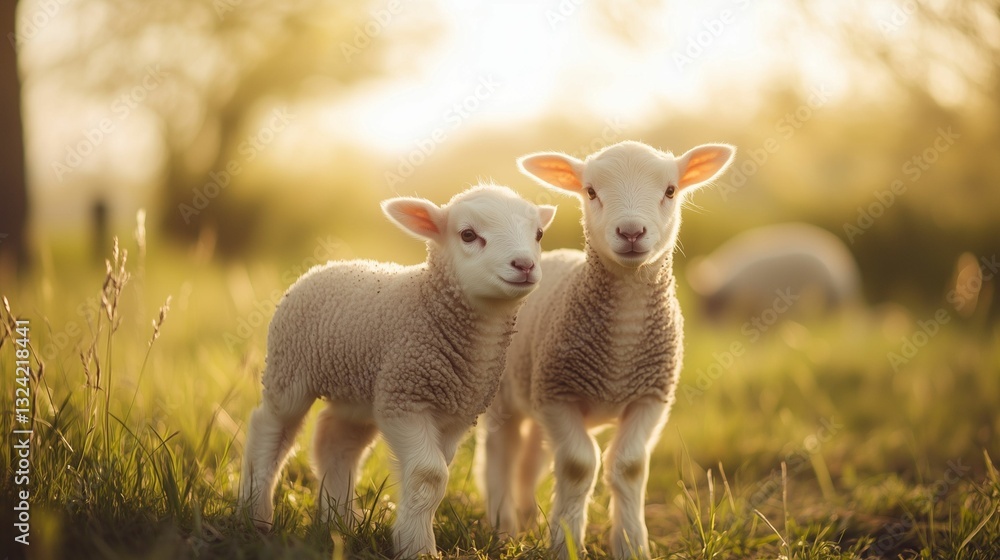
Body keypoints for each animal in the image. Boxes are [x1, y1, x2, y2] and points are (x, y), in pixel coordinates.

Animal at [240, 184, 556, 558]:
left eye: (538, 234)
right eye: (468, 234)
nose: (524, 264)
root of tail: (327, 266)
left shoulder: (456, 413)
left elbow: (432, 476)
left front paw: (409, 535)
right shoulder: (404, 397)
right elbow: (430, 474)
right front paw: (419, 548)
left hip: (359, 391)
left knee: (335, 440)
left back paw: (338, 522)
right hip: (289, 369)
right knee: (271, 428)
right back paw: (255, 513)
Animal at [478, 140, 735, 559]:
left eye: (670, 190)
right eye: (591, 191)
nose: (631, 231)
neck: (621, 351)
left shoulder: (651, 397)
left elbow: (629, 465)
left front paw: (631, 544)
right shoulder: (558, 394)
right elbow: (578, 465)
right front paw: (565, 543)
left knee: (532, 459)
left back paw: (527, 517)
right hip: (504, 394)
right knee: (501, 452)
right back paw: (503, 525)